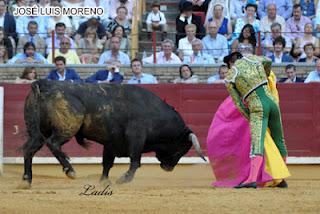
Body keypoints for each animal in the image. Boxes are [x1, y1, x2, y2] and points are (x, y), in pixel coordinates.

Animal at [22, 80, 206, 187]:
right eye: (182, 148)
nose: (168, 168)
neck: (154, 113)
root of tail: (44, 84)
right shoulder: (136, 136)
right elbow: (135, 161)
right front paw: (123, 180)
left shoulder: (110, 143)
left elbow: (107, 163)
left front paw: (104, 182)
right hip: (67, 128)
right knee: (53, 143)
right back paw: (70, 170)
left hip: (37, 132)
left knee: (29, 150)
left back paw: (26, 179)